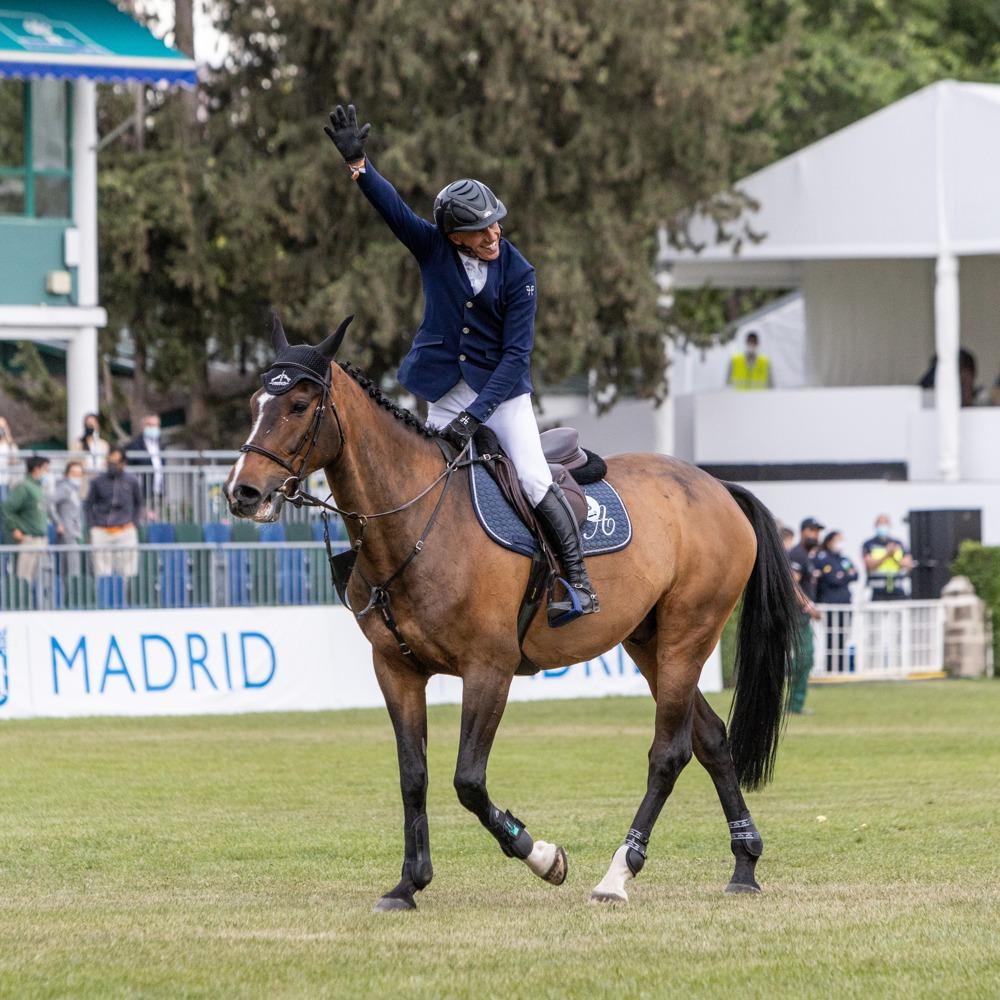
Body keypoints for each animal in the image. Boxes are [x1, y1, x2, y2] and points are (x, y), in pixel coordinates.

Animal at [225, 318, 796, 908]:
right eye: (255, 402)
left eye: (298, 404)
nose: (242, 491)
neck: (418, 523)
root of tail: (715, 486)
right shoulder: (396, 669)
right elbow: (414, 776)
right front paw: (409, 883)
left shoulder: (489, 670)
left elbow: (468, 781)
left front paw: (542, 856)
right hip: (648, 642)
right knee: (711, 740)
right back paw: (744, 864)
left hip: (689, 635)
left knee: (670, 752)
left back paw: (618, 873)